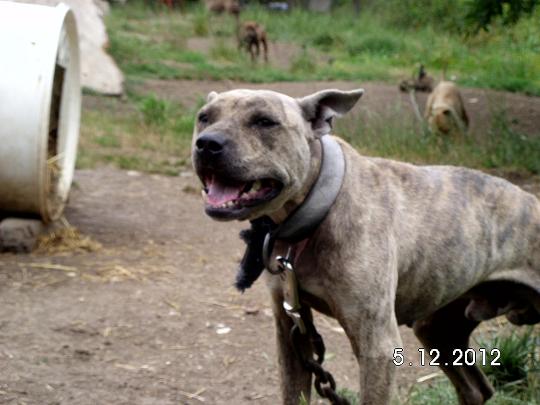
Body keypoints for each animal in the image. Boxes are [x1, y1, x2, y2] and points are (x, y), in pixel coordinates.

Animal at [192, 88, 540, 405]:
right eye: (204, 117)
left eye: (265, 121)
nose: (207, 143)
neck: (318, 207)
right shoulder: (291, 334)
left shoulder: (377, 345)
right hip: (438, 329)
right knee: (476, 388)